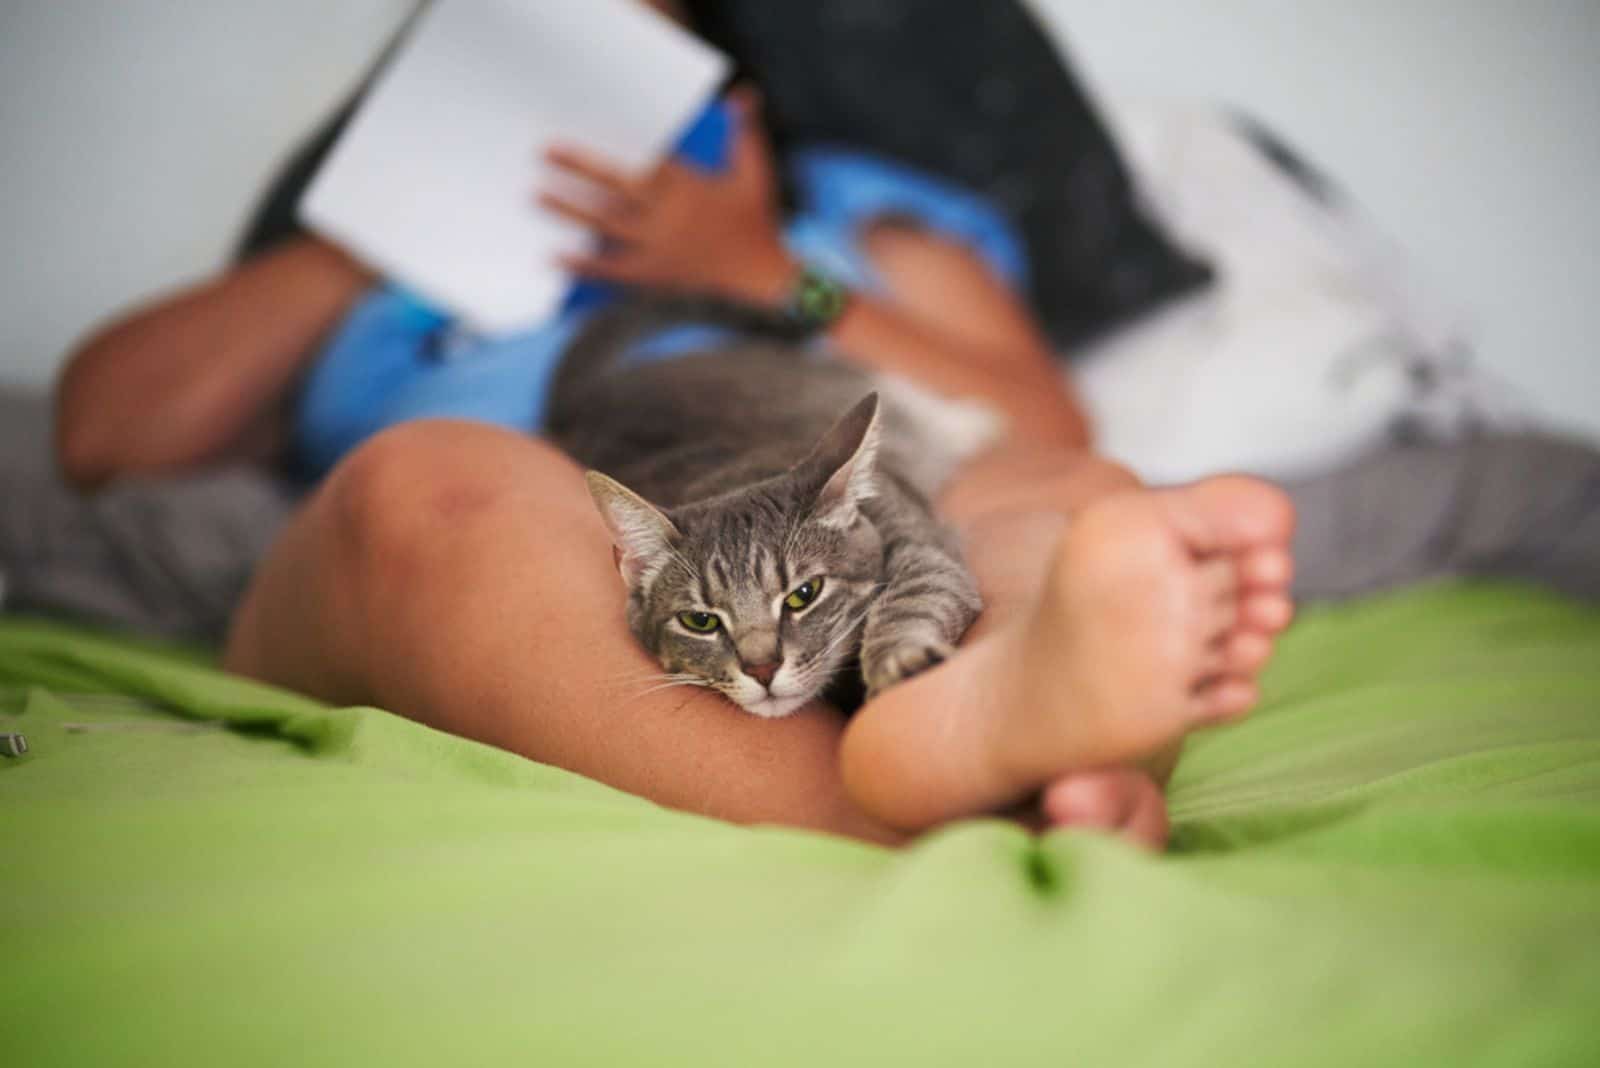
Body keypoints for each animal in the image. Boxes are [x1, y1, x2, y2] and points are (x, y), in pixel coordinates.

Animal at [550, 300, 992, 716]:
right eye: (700, 621)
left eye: (803, 595)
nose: (762, 670)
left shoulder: (919, 546)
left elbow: (913, 598)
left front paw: (898, 660)